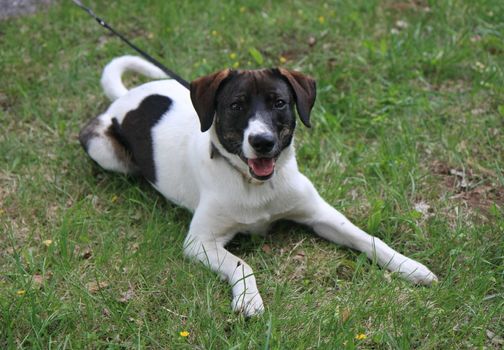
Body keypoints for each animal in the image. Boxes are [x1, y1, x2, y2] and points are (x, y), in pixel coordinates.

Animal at [79, 55, 438, 318]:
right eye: (236, 105)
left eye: (279, 102)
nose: (262, 142)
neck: (254, 185)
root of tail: (125, 98)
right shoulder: (200, 242)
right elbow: (242, 263)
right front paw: (249, 299)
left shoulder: (320, 215)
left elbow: (368, 239)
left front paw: (411, 267)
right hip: (102, 148)